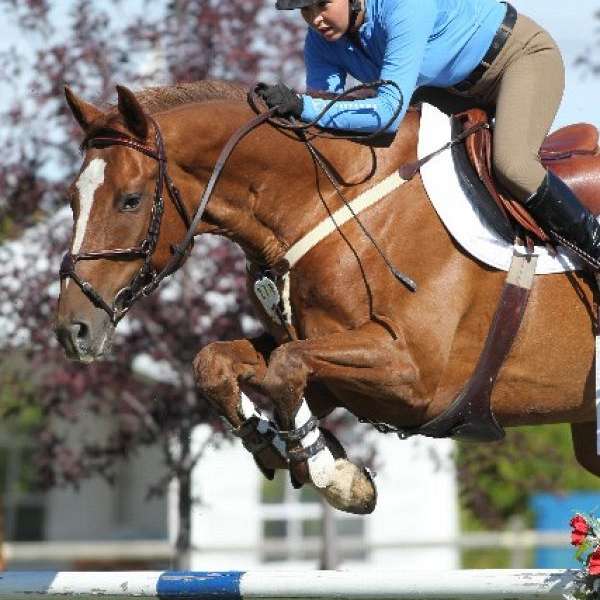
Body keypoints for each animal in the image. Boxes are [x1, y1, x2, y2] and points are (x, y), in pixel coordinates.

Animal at [57, 81, 600, 516]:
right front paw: (286, 449)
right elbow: (221, 363)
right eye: (71, 198)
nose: (72, 330)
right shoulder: (325, 356)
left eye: (130, 200)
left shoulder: (416, 376)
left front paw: (335, 476)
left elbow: (285, 369)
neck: (327, 206)